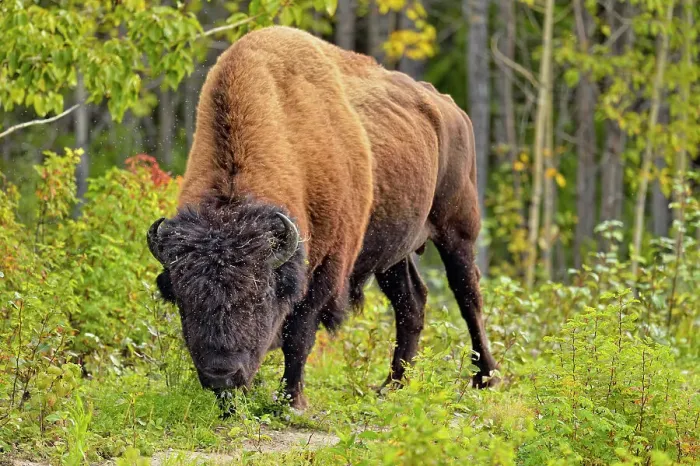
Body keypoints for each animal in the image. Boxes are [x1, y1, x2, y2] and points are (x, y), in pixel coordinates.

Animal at [146, 26, 498, 409]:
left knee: (468, 296)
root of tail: (450, 108)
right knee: (411, 303)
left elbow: (298, 336)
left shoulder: (325, 268)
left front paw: (292, 401)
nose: (221, 376)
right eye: (183, 298)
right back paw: (391, 386)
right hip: (393, 252)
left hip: (457, 230)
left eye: (257, 295)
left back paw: (486, 379)